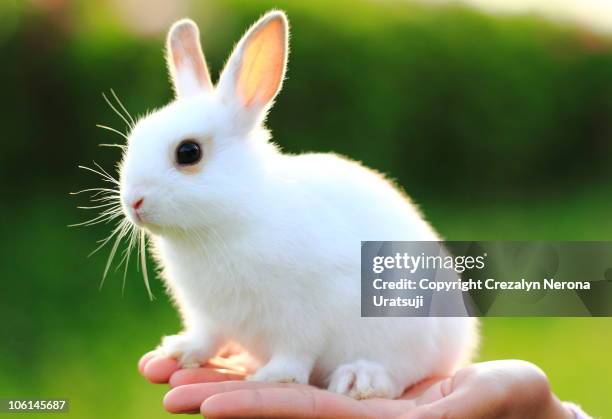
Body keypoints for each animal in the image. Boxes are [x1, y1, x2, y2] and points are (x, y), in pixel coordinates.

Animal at [118, 10, 478, 400]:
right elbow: (209, 337)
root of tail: (460, 343)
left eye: (188, 152)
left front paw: (276, 377)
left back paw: (359, 379)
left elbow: (296, 351)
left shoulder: (302, 316)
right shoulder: (208, 316)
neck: (235, 214)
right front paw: (179, 351)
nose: (133, 201)